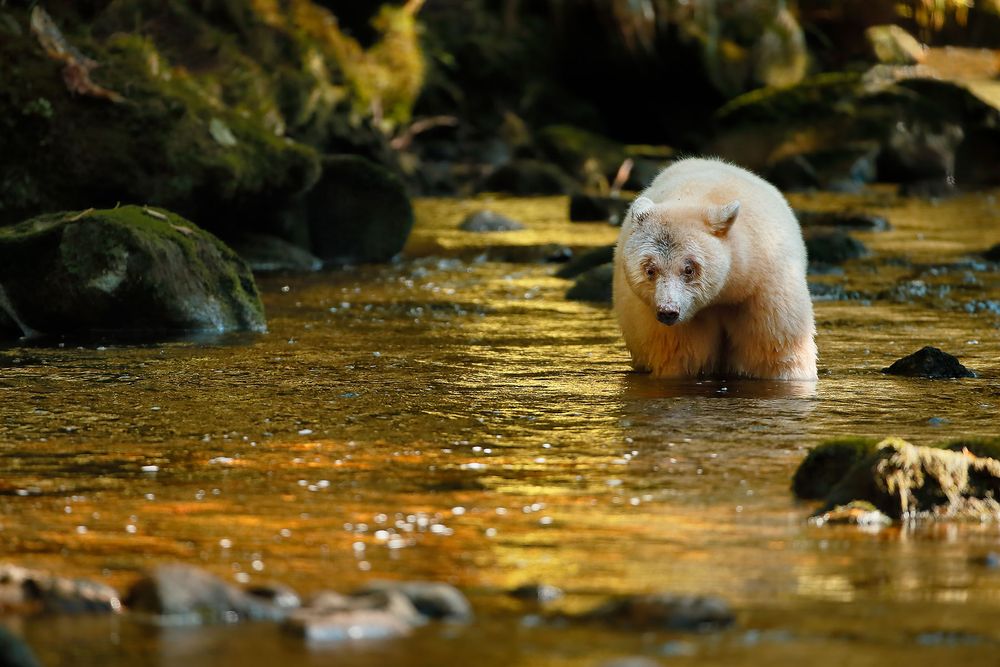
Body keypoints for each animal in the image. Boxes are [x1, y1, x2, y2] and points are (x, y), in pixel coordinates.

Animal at [612, 157, 817, 380]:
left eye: (689, 268)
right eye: (650, 269)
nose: (668, 312)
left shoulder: (765, 287)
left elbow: (777, 350)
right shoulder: (673, 324)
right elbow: (679, 357)